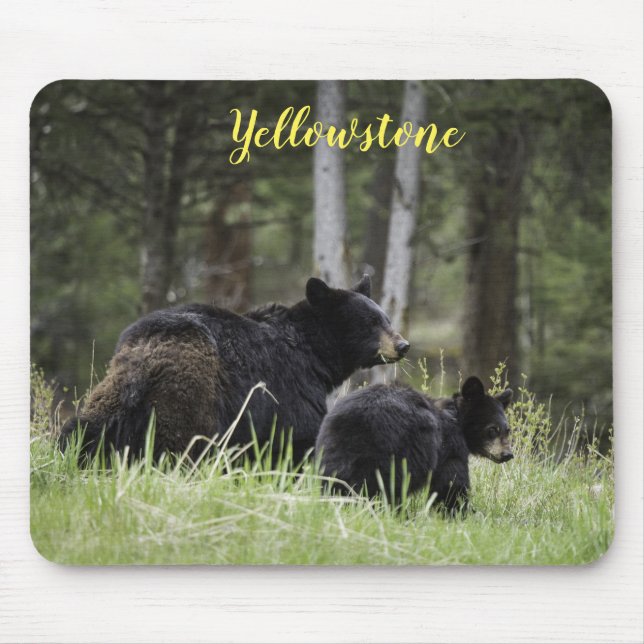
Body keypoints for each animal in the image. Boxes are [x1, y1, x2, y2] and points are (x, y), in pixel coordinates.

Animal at [59, 275, 410, 465]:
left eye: (386, 318)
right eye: (370, 322)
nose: (403, 345)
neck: (314, 354)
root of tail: (144, 361)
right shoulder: (289, 386)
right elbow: (299, 436)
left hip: (112, 398)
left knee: (82, 430)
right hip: (189, 398)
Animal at [315, 376, 513, 512]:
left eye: (507, 430)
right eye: (492, 429)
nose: (508, 454)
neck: (456, 418)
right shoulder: (449, 446)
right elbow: (451, 483)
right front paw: (462, 512)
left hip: (331, 449)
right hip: (394, 453)